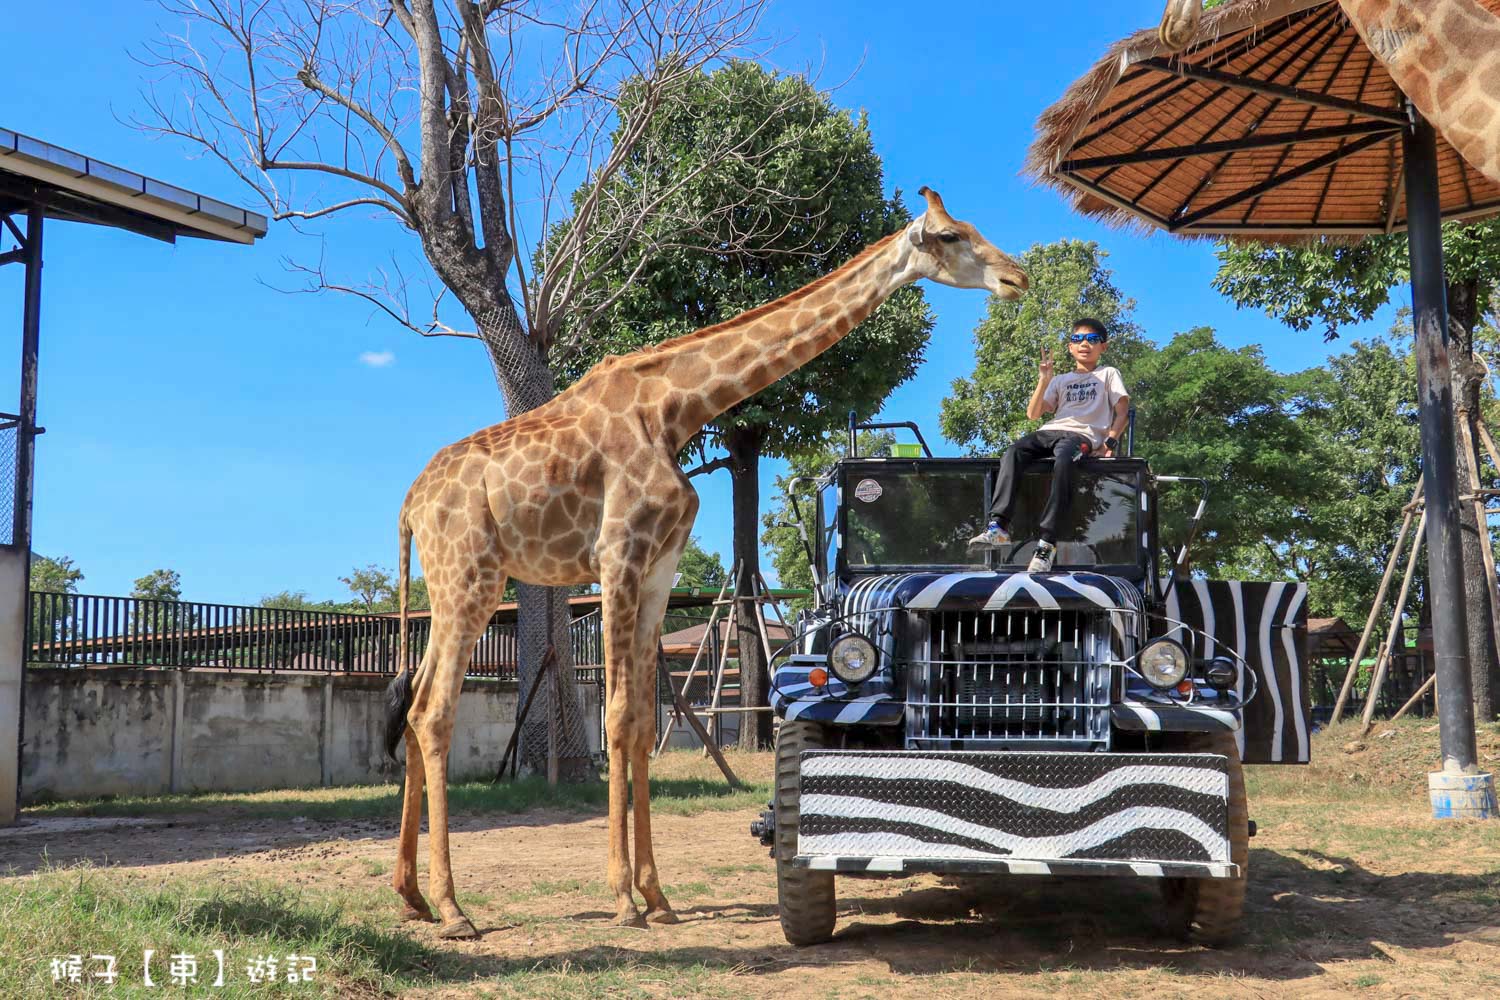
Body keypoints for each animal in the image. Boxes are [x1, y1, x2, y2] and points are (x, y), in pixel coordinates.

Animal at [381, 187, 1026, 941]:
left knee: (413, 703)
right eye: (952, 236)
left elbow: (638, 723)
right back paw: (455, 910)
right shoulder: (618, 554)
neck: (677, 407)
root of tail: (410, 503)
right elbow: (618, 713)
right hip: (470, 578)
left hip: (451, 585)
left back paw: (411, 896)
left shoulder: (660, 565)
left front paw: (657, 897)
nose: (1017, 278)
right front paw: (622, 898)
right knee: (433, 712)